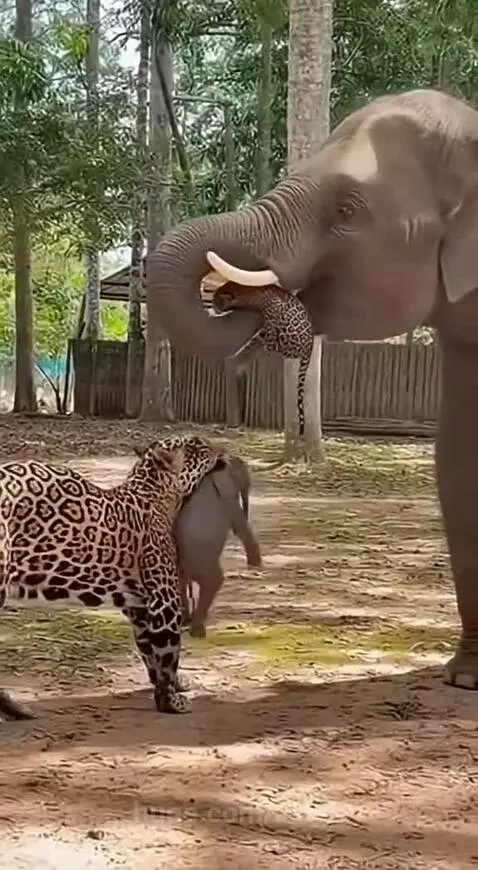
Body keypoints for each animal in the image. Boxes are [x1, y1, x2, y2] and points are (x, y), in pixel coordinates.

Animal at [0, 434, 228, 721]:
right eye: (199, 445)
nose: (224, 448)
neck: (160, 495)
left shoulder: (139, 606)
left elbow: (150, 652)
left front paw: (173, 685)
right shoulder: (164, 601)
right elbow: (167, 653)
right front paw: (170, 701)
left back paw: (16, 709)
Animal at [174, 454, 262, 637]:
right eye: (245, 477)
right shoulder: (227, 500)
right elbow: (240, 526)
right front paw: (256, 565)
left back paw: (187, 622)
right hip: (199, 556)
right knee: (211, 580)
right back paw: (197, 630)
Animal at [213, 282, 314, 437]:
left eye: (217, 301)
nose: (214, 308)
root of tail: (309, 348)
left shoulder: (274, 309)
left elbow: (270, 333)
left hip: (287, 336)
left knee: (272, 344)